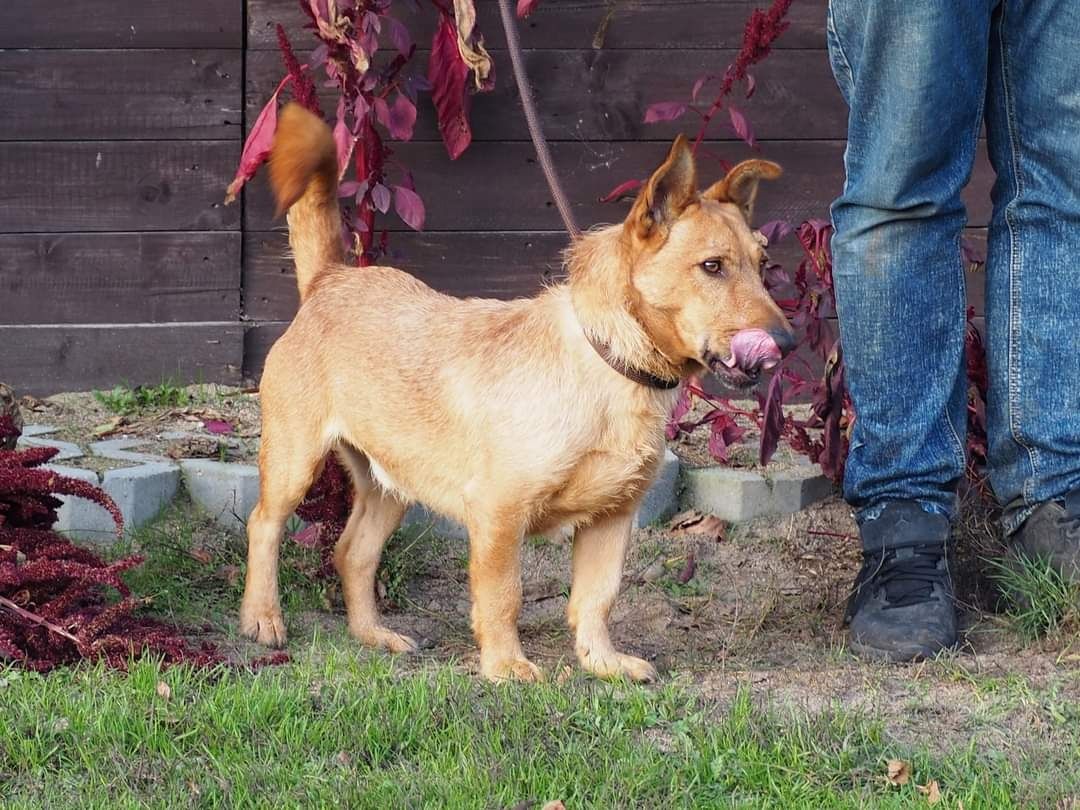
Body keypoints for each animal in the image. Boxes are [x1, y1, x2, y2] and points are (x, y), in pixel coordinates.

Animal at [240, 104, 794, 682]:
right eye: (712, 266)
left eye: (762, 265)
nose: (787, 343)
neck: (607, 365)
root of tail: (330, 280)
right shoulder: (499, 514)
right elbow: (503, 595)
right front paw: (506, 665)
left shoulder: (613, 519)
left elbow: (597, 599)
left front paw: (602, 661)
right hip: (294, 462)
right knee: (264, 526)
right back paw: (262, 617)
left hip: (389, 486)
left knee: (353, 553)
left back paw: (374, 634)